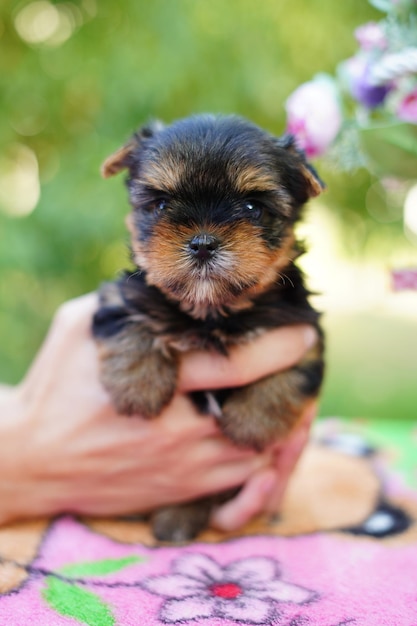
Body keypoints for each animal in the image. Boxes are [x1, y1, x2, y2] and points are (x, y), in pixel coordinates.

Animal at [92, 113, 324, 540]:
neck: (212, 309)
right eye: (160, 204)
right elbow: (129, 323)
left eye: (252, 207)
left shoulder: (302, 328)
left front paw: (253, 422)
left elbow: (293, 372)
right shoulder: (122, 295)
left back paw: (177, 518)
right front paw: (139, 386)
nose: (202, 243)